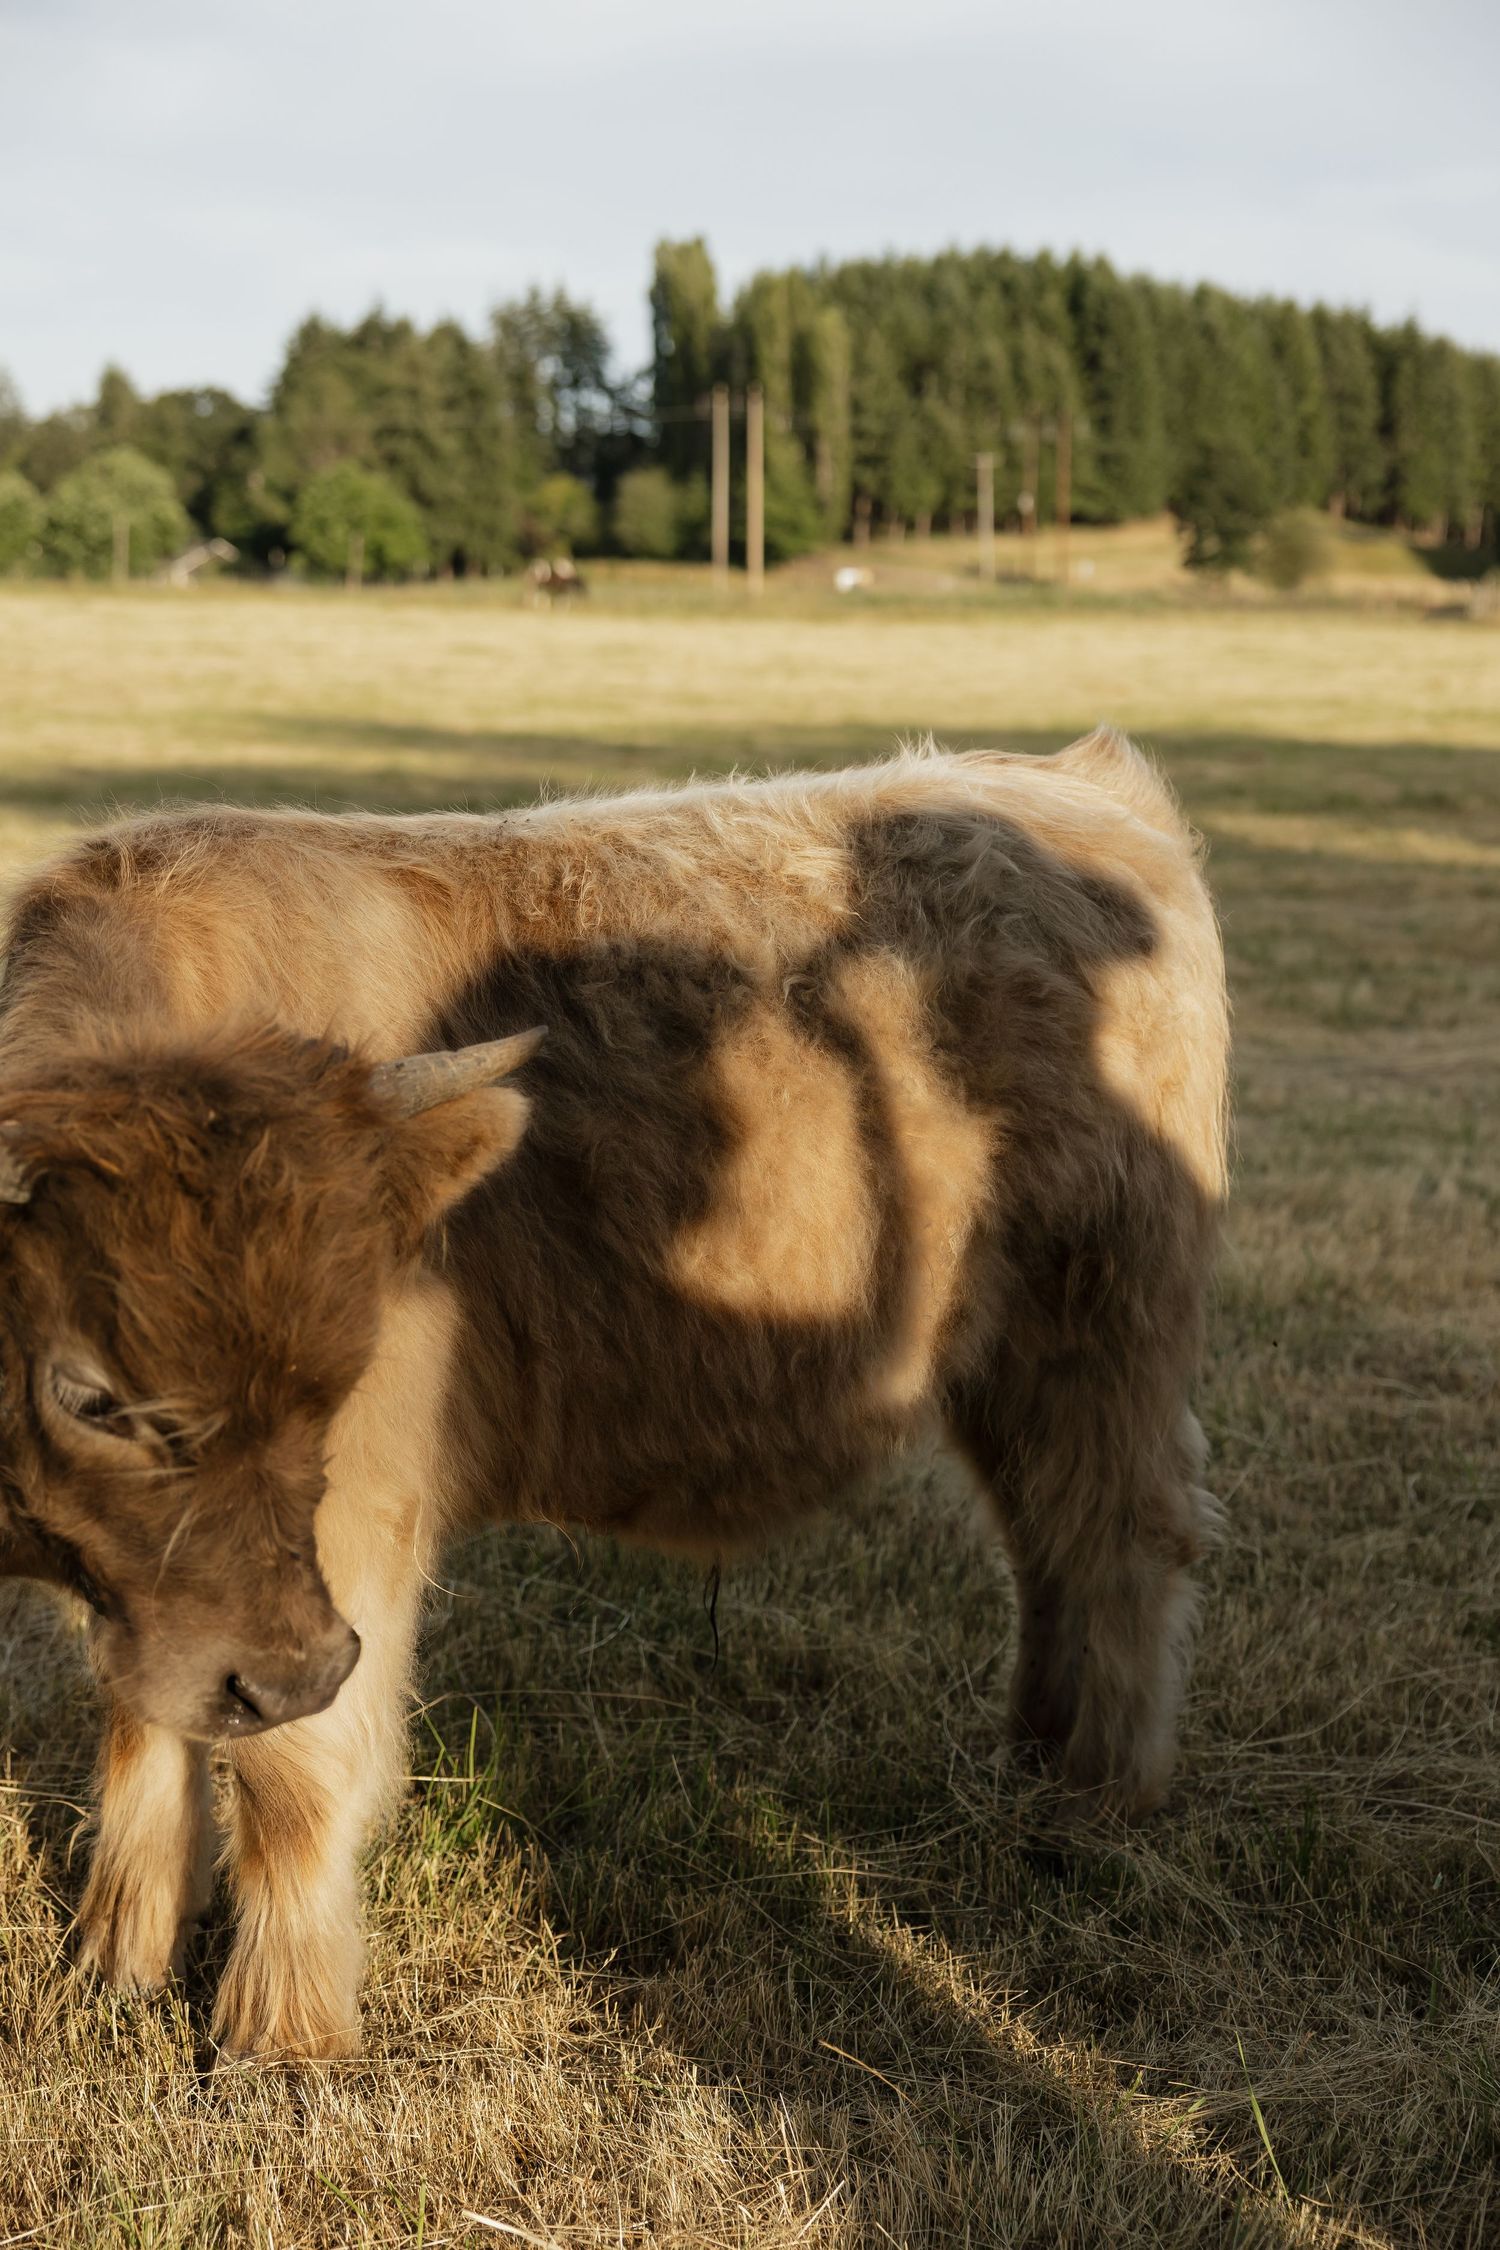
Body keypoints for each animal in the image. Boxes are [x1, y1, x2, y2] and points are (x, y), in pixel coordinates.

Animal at [0, 731, 1228, 2060]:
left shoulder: (345, 1533)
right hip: (1009, 1360)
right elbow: (144, 1727)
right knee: (1048, 1538)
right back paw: (1035, 1759)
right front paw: (109, 1967)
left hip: (1105, 1323)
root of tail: (1069, 775)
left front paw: (279, 2038)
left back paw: (1098, 1799)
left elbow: (295, 1769)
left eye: (342, 1365)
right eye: (89, 1395)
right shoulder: (167, 1594)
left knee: (1118, 1535)